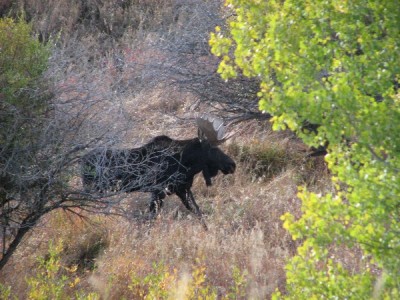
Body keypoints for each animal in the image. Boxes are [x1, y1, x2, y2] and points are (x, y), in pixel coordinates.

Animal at [82, 115, 236, 227]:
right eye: (213, 149)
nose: (232, 165)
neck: (185, 163)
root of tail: (81, 162)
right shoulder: (158, 191)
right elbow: (151, 217)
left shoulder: (182, 189)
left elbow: (197, 212)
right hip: (93, 188)